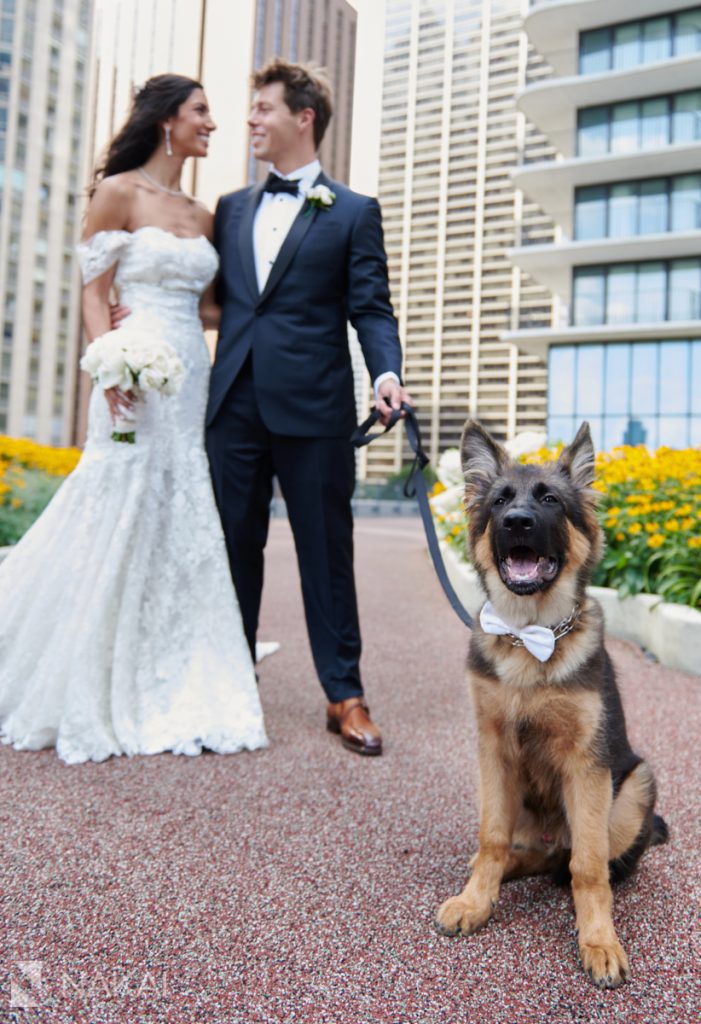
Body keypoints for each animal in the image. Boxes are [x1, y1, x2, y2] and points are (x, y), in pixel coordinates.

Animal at [433, 419, 671, 987]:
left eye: (550, 500)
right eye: (500, 500)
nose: (517, 521)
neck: (529, 638)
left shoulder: (587, 767)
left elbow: (588, 868)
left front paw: (599, 940)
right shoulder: (493, 751)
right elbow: (491, 839)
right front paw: (476, 899)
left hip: (634, 788)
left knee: (574, 860)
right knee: (535, 854)